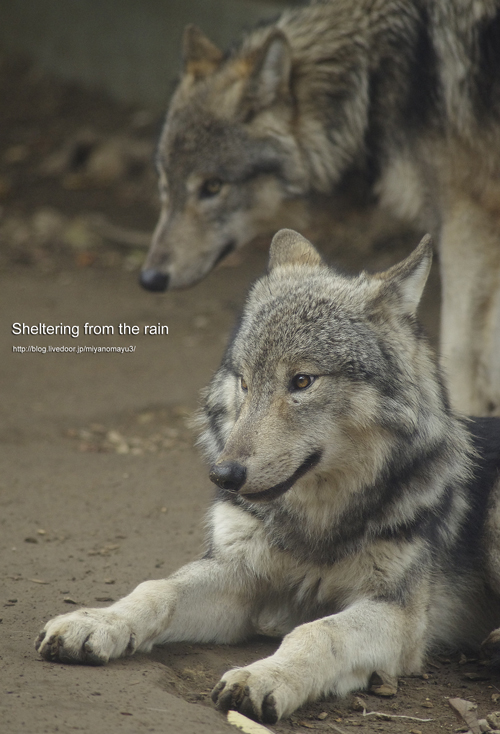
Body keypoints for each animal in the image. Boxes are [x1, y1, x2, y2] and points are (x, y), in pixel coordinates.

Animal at [38, 233, 500, 728]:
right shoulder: (240, 576)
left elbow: (318, 632)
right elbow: (156, 589)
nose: (223, 474)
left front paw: (263, 677)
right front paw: (96, 622)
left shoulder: (398, 613)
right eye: (244, 381)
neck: (315, 522)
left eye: (302, 381)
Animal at [139, 0, 500, 420]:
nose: (150, 278)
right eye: (165, 185)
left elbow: (460, 354)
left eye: (212, 187)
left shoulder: (466, 218)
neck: (379, 72)